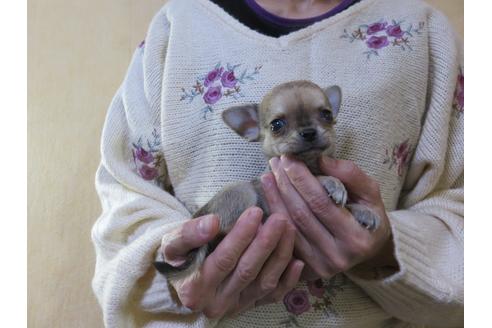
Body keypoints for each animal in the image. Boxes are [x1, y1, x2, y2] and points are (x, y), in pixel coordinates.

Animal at [156, 80, 378, 288]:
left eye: (327, 115)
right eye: (276, 125)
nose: (308, 132)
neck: (310, 164)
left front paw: (363, 211)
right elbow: (321, 179)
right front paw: (334, 183)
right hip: (242, 192)